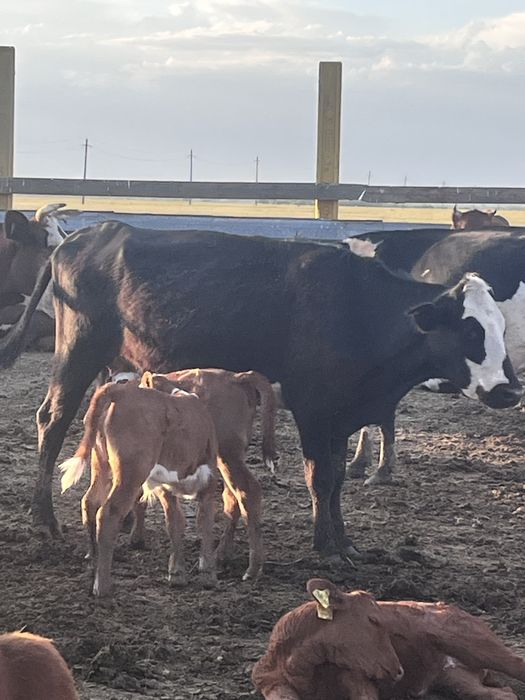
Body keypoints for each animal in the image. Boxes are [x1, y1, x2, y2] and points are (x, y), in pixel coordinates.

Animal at [0, 221, 520, 558]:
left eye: (500, 327)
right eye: (470, 331)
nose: (509, 391)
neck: (358, 308)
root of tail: (86, 234)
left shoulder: (341, 413)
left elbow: (336, 480)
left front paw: (345, 542)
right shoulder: (315, 409)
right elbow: (322, 478)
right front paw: (327, 548)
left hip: (120, 367)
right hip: (78, 351)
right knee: (53, 419)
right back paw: (44, 520)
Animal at [59, 381, 219, 596]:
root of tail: (119, 390)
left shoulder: (165, 487)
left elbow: (176, 522)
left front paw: (177, 573)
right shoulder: (209, 479)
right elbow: (205, 522)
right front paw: (208, 574)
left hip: (101, 463)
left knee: (90, 502)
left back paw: (93, 563)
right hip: (130, 475)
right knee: (107, 514)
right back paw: (103, 586)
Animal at [140, 368, 277, 581]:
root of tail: (236, 377)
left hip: (228, 455)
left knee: (247, 492)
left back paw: (252, 568)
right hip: (225, 460)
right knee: (231, 496)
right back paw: (221, 555)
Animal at [253, 579, 525, 700]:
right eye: (373, 619)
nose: (399, 671)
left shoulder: (360, 680)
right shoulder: (269, 682)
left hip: (471, 642)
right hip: (455, 677)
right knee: (503, 694)